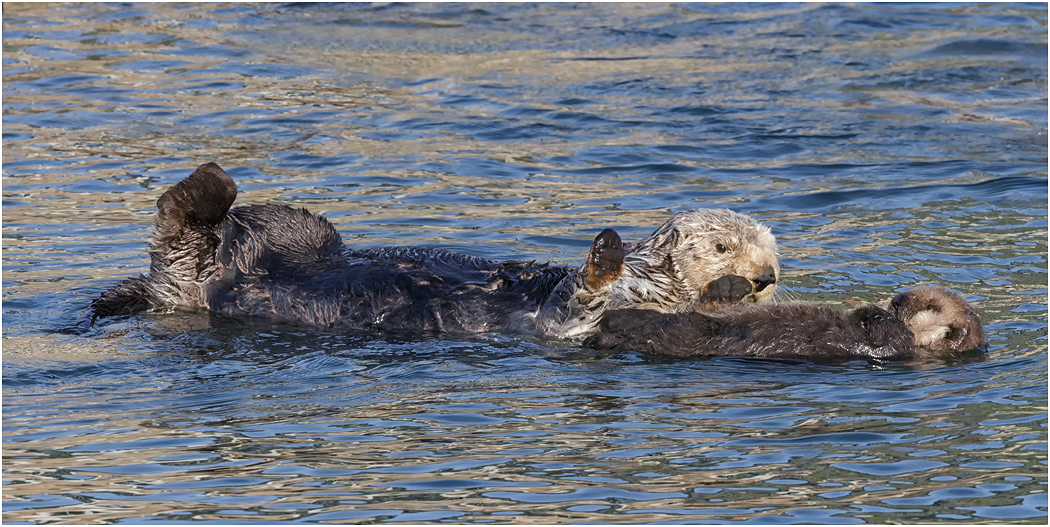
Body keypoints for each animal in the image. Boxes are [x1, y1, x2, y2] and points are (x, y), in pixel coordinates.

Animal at [90, 163, 779, 338]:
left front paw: (603, 256)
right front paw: (608, 245)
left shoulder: (577, 324)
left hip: (206, 271)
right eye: (724, 245)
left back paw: (205, 190)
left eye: (775, 253)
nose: (766, 277)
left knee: (178, 232)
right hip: (297, 230)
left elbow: (575, 306)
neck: (650, 286)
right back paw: (216, 184)